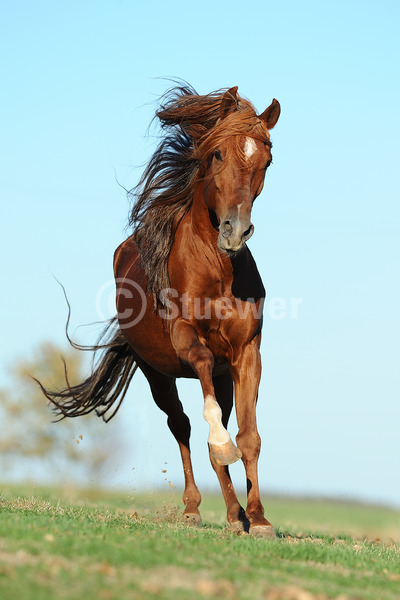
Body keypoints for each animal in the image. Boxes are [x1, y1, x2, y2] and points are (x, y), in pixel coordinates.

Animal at [38, 84, 282, 540]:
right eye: (216, 154)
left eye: (267, 159)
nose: (235, 231)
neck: (219, 272)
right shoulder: (185, 340)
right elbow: (210, 414)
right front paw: (222, 451)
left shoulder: (246, 354)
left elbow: (249, 437)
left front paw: (259, 519)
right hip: (156, 373)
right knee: (183, 426)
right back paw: (193, 508)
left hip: (221, 377)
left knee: (215, 423)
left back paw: (234, 514)